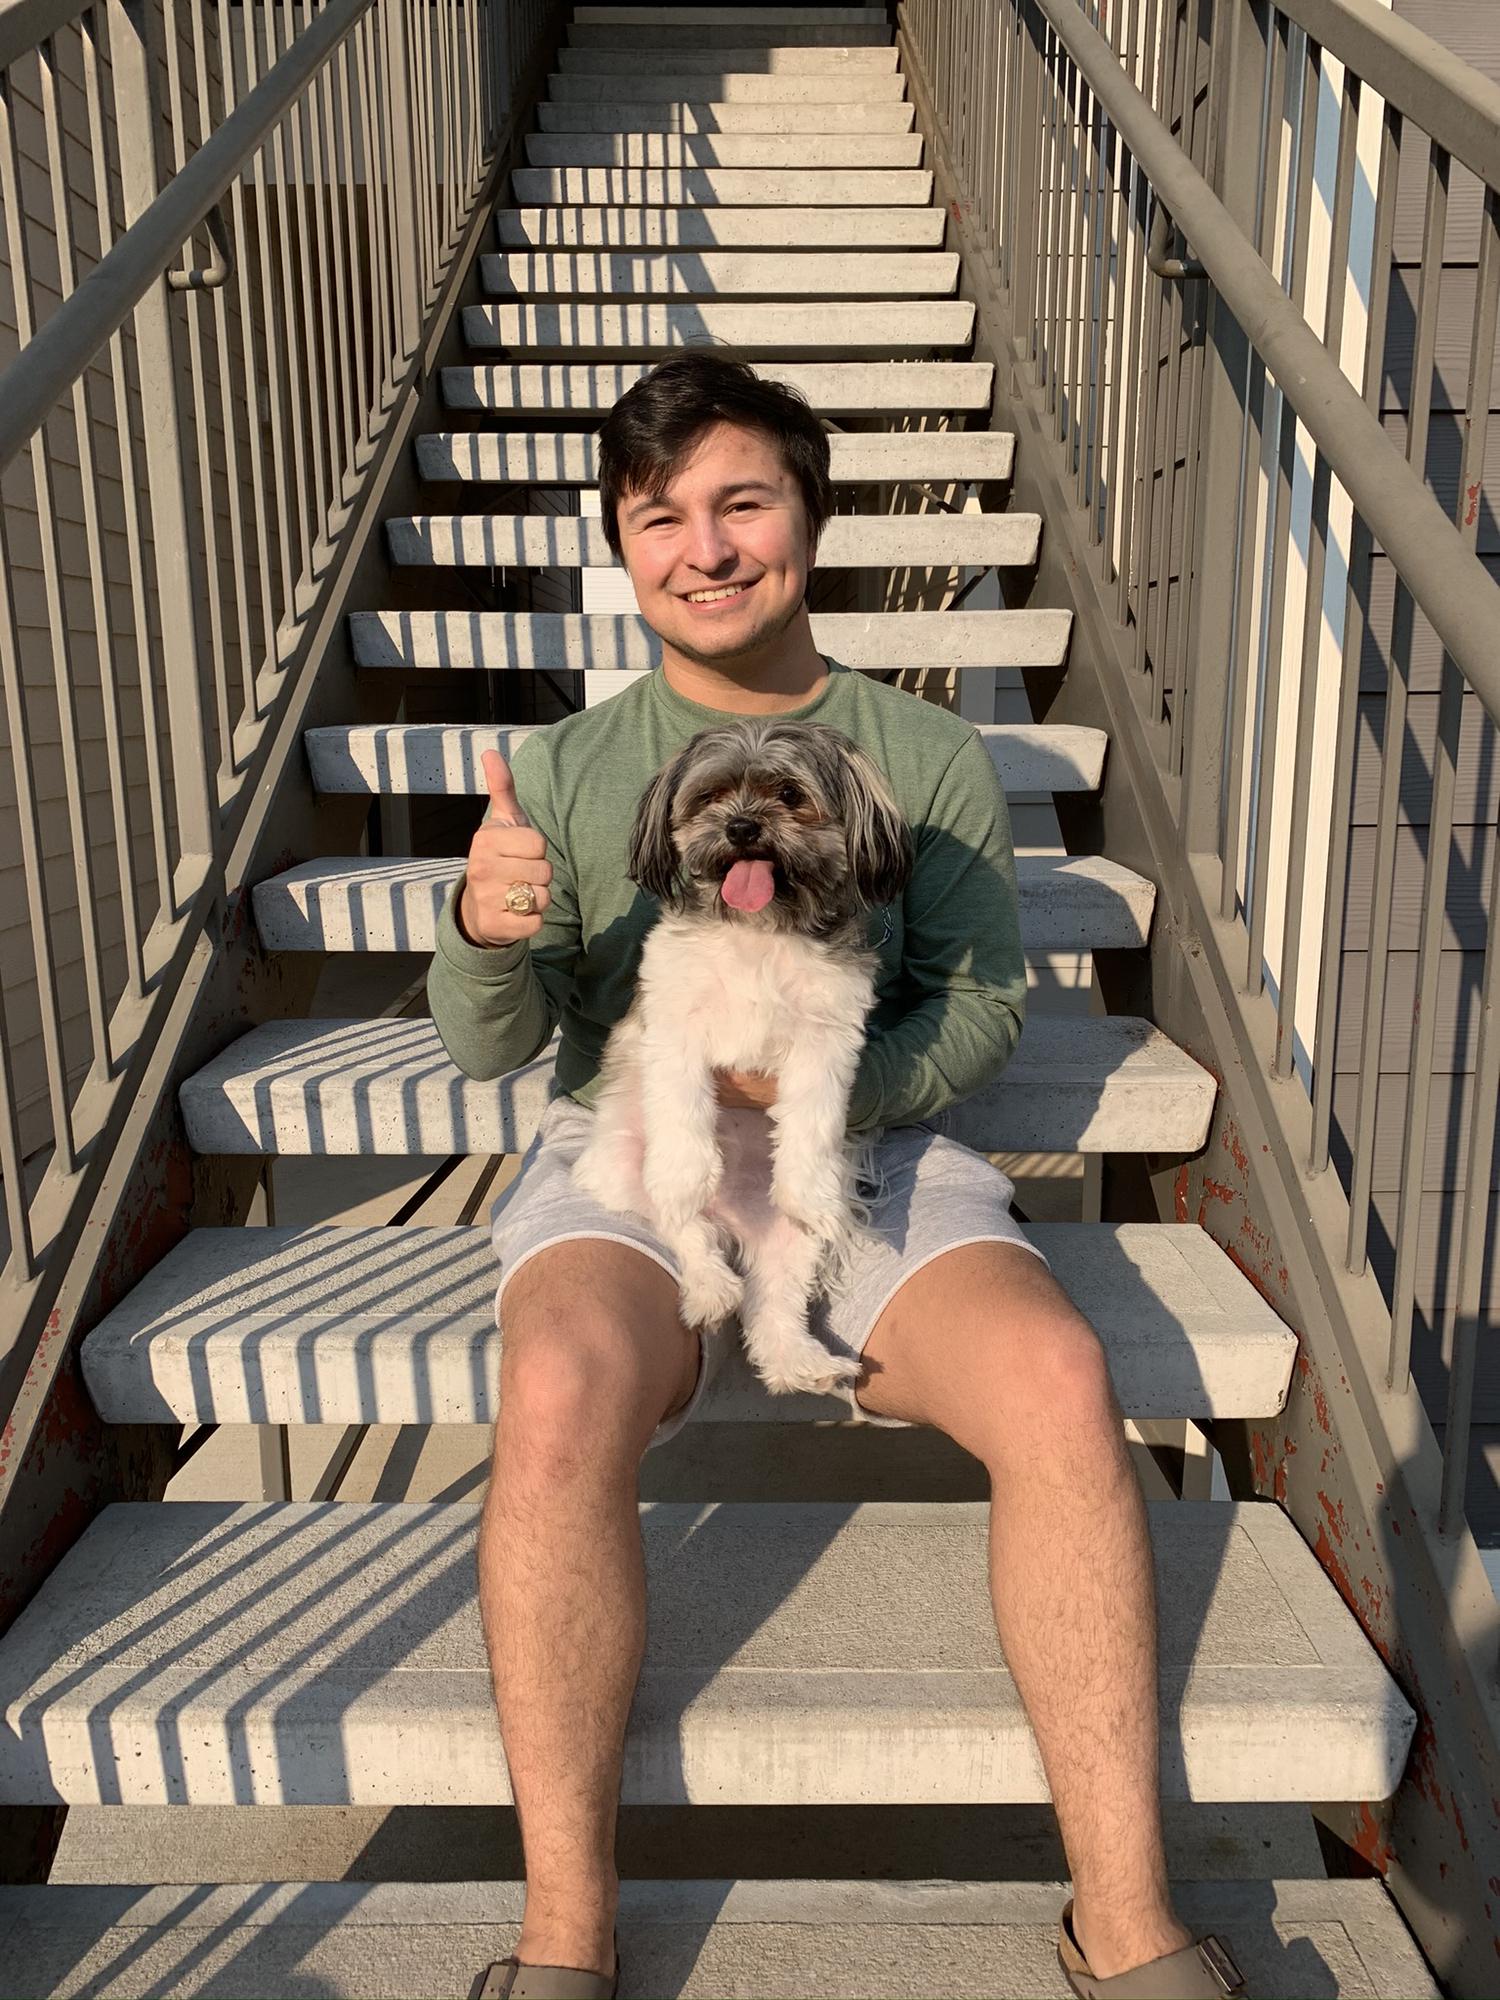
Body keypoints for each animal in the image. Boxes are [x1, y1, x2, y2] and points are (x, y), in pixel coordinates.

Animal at [568, 716, 912, 1392]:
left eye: (791, 796)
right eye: (710, 796)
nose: (742, 827)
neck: (760, 929)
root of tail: (736, 1223)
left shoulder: (828, 1035)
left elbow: (813, 1117)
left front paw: (806, 1183)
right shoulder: (673, 1024)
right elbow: (682, 1109)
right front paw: (689, 1172)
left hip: (793, 1240)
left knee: (773, 1304)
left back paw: (801, 1362)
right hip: (623, 1167)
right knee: (682, 1226)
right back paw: (709, 1286)